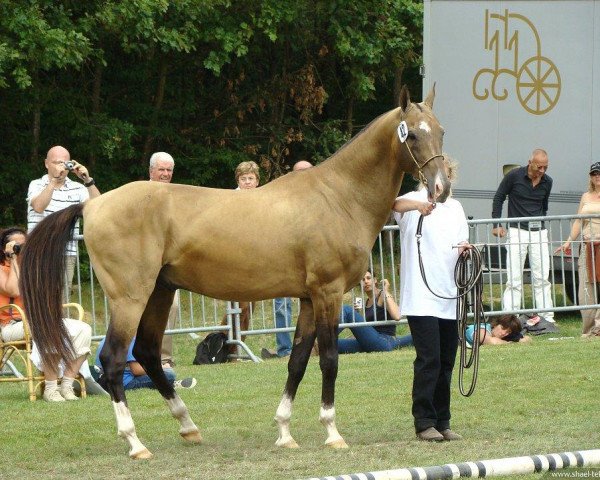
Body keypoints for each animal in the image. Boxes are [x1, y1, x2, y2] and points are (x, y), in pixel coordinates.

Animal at [21, 85, 448, 458]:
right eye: (412, 136)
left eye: (441, 132)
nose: (440, 189)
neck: (338, 196)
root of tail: (92, 205)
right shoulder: (328, 293)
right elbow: (328, 359)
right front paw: (332, 432)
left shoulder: (309, 299)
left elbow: (297, 361)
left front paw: (284, 432)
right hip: (130, 298)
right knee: (112, 360)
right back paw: (136, 443)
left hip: (160, 292)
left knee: (147, 353)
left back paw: (188, 425)